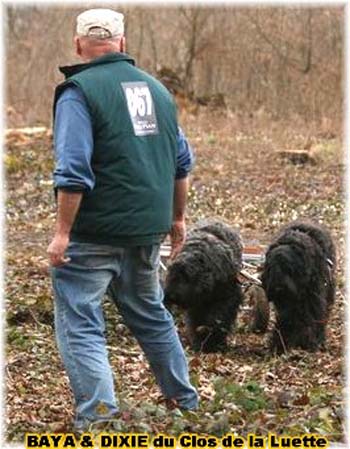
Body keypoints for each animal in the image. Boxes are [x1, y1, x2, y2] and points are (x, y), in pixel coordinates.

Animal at [165, 219, 243, 352]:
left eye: (186, 277)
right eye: (170, 273)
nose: (171, 296)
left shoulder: (227, 296)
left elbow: (218, 318)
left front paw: (212, 340)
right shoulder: (196, 304)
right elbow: (195, 320)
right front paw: (199, 341)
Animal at [262, 219, 334, 352]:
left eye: (288, 268)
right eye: (271, 267)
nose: (278, 288)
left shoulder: (312, 297)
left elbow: (311, 317)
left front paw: (309, 342)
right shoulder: (286, 305)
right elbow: (287, 319)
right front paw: (279, 343)